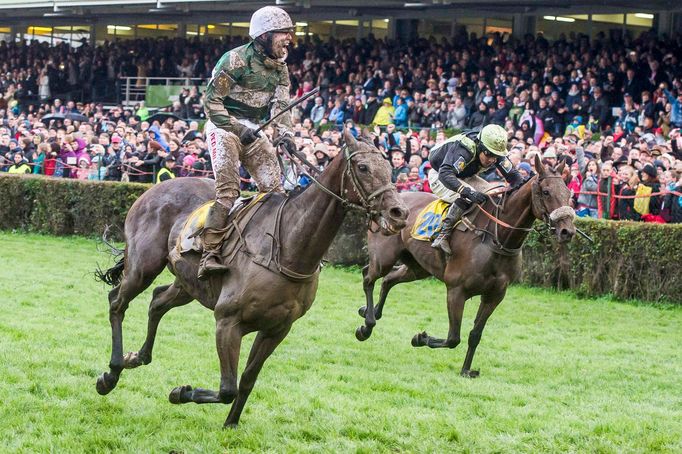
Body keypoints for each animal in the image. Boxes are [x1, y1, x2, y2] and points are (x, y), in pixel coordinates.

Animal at [93, 129, 406, 430]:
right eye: (363, 167)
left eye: (390, 167)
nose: (399, 213)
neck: (288, 248)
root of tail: (154, 189)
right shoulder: (227, 322)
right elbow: (227, 388)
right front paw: (180, 393)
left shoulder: (277, 329)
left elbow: (246, 380)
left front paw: (231, 423)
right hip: (143, 266)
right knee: (117, 302)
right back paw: (111, 373)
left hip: (189, 284)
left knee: (157, 301)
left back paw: (137, 357)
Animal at [356, 154, 572, 378]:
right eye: (546, 192)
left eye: (568, 193)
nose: (567, 231)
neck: (496, 239)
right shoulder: (456, 290)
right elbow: (453, 338)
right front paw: (420, 338)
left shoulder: (495, 295)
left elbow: (475, 334)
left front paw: (466, 370)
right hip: (384, 258)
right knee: (368, 277)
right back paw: (366, 326)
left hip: (418, 267)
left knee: (388, 280)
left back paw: (371, 312)